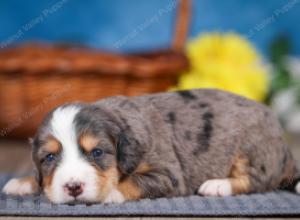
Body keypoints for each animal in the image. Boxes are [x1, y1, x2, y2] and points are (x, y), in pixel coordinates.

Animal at [2, 89, 300, 203]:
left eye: (97, 152)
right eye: (49, 158)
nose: (73, 188)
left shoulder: (169, 174)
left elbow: (132, 182)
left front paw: (108, 193)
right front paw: (22, 182)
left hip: (251, 148)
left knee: (258, 180)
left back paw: (217, 185)